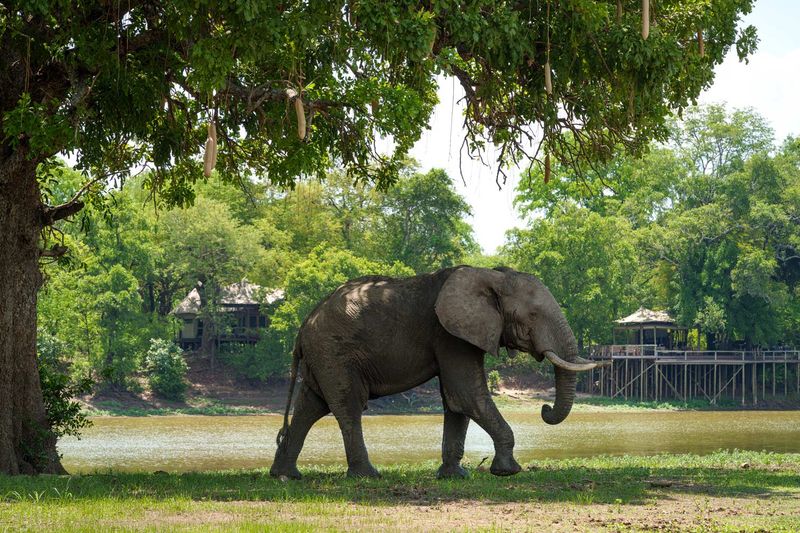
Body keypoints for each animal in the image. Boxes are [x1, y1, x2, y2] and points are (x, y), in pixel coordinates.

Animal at [269, 266, 606, 480]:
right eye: (533, 316)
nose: (544, 408)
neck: (491, 275)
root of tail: (304, 326)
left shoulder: (458, 334)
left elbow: (456, 400)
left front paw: (454, 476)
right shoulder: (449, 334)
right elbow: (466, 394)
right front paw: (507, 471)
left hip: (323, 356)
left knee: (311, 406)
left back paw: (286, 476)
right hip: (334, 352)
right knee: (347, 405)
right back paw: (367, 475)